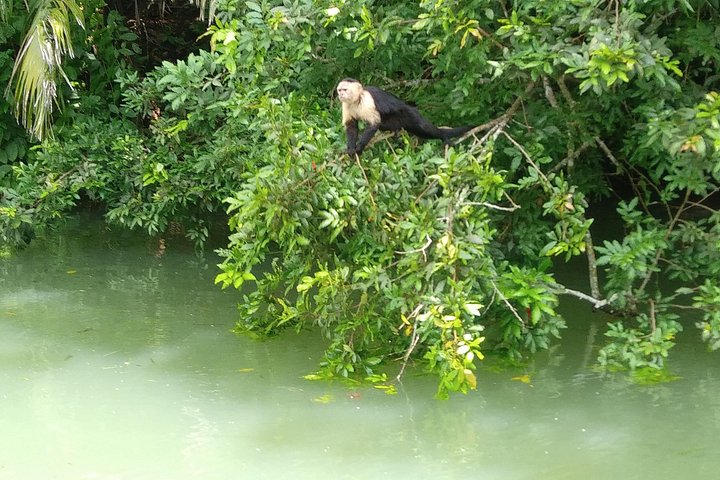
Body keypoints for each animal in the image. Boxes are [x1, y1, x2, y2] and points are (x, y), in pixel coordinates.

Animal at [336, 78, 473, 156]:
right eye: (339, 90)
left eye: (345, 89)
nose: (340, 94)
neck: (356, 100)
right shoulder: (346, 104)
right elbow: (351, 126)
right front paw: (351, 149)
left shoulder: (367, 100)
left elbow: (373, 123)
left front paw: (359, 148)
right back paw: (394, 130)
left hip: (409, 113)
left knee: (423, 127)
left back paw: (443, 135)